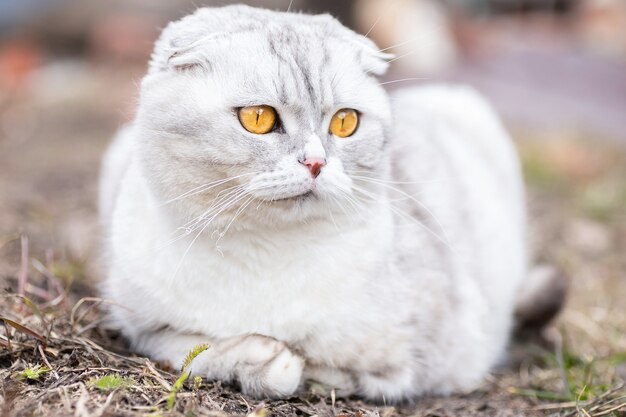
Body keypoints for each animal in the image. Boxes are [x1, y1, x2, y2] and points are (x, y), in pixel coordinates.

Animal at [100, 3, 560, 400]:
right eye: (258, 118)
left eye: (345, 122)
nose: (316, 162)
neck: (265, 253)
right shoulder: (140, 327)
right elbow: (195, 351)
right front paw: (260, 356)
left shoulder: (429, 360)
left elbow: (330, 368)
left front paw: (286, 360)